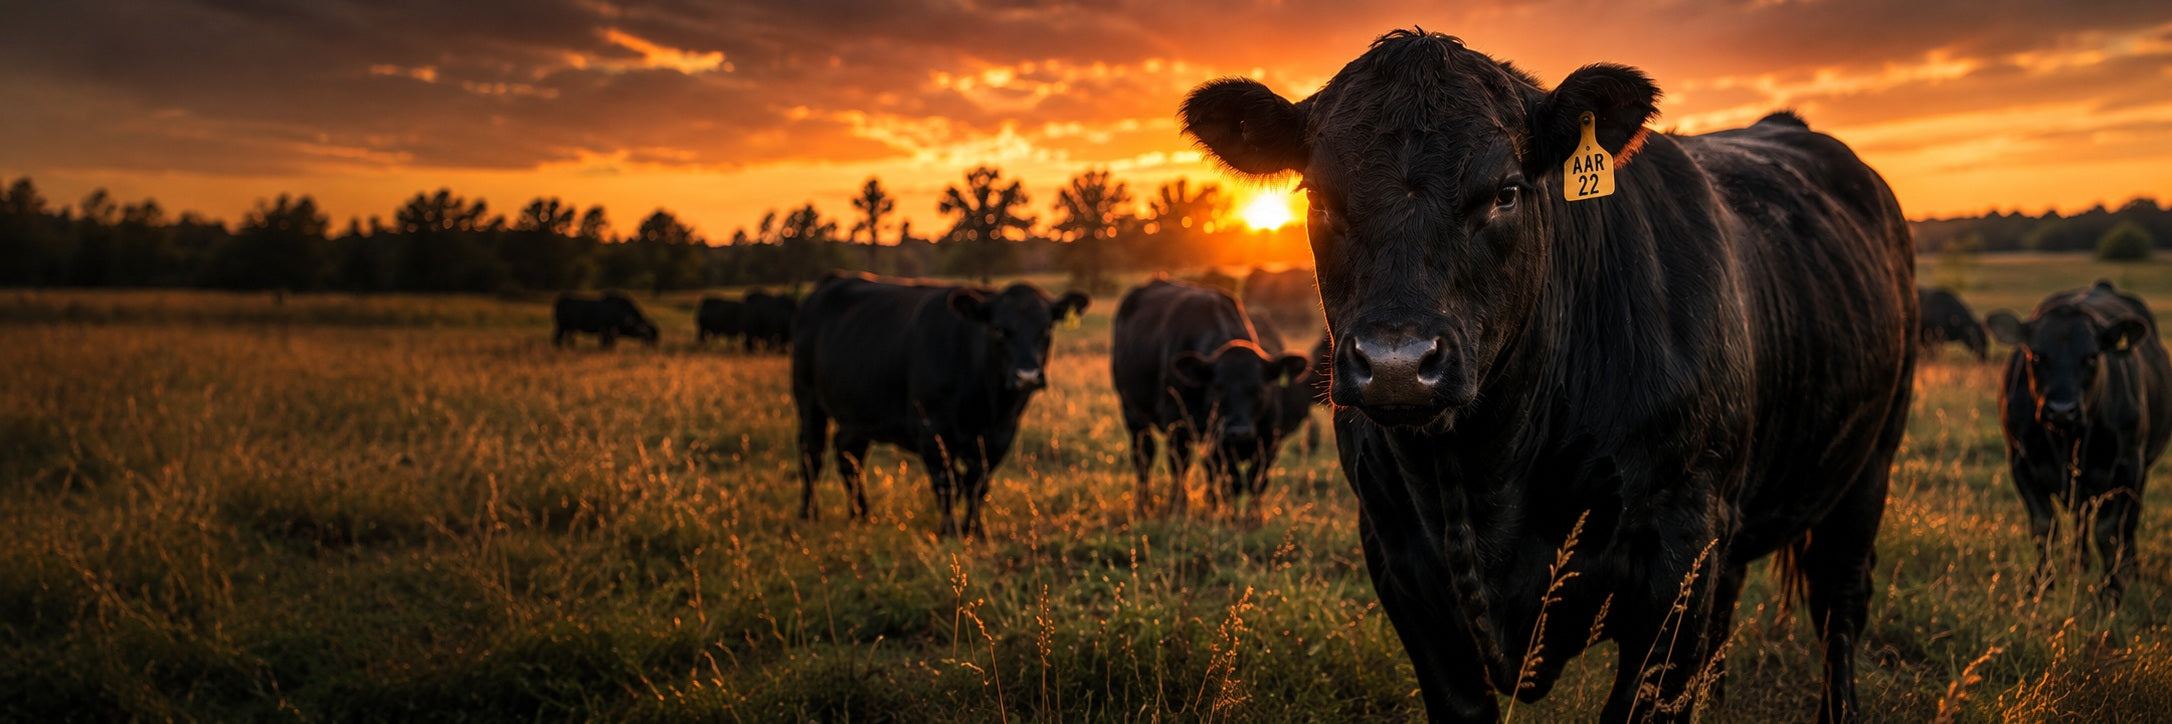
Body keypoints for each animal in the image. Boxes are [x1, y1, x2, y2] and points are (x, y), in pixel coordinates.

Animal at [792, 273, 1089, 537]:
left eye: (1046, 329)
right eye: (999, 330)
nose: (1026, 375)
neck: (985, 403)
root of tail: (831, 280)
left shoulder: (1001, 434)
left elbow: (977, 483)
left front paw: (976, 530)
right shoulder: (931, 430)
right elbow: (947, 483)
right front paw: (951, 531)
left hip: (857, 414)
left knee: (849, 455)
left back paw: (861, 515)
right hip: (807, 398)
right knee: (811, 455)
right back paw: (808, 514)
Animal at [1112, 279, 1311, 513]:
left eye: (1260, 388)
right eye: (1218, 387)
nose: (1239, 431)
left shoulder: (1265, 440)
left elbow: (1252, 482)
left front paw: (1242, 516)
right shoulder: (1178, 425)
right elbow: (1183, 467)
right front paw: (1179, 507)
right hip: (1132, 413)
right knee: (1144, 457)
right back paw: (1143, 504)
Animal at [1181, 30, 1916, 722]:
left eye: (1505, 192)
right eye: (1319, 196)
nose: (1396, 364)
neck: (1485, 482)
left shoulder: (1679, 548)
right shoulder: (1399, 558)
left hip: (1868, 467)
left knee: (1840, 602)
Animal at [1987, 280, 2171, 608]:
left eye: (2092, 357)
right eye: (2037, 355)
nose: (2061, 409)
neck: (2067, 439)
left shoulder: (2127, 465)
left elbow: (2109, 531)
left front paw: (2111, 593)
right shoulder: (2021, 462)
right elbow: (2044, 526)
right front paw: (2041, 586)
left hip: (2142, 468)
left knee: (2129, 523)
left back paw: (2130, 569)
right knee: (2082, 517)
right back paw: (2078, 563)